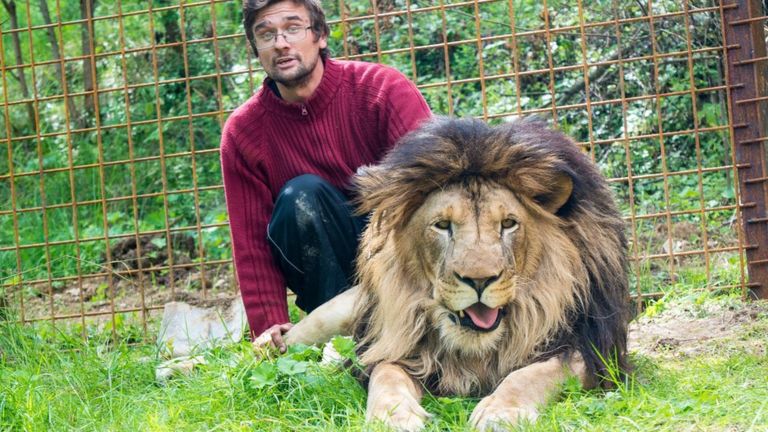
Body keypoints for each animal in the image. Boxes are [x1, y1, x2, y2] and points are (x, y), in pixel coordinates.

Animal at [276, 116, 632, 430]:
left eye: (508, 224)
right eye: (443, 225)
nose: (479, 280)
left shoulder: (591, 351)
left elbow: (531, 374)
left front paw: (500, 413)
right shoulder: (396, 344)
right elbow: (386, 375)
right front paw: (393, 417)